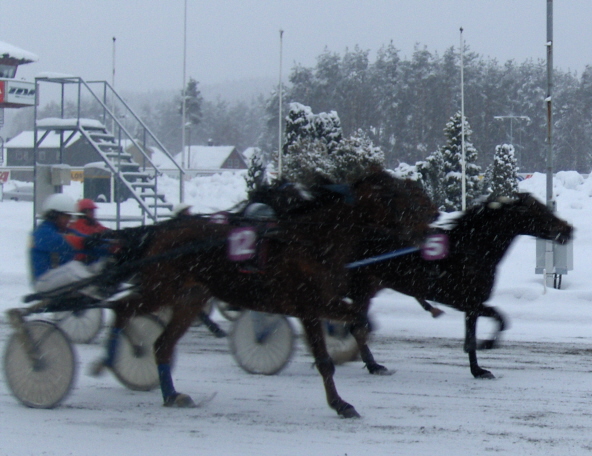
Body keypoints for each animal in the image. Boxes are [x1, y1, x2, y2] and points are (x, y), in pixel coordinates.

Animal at [99, 169, 438, 418]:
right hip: (163, 287)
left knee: (162, 344)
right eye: (402, 199)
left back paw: (171, 394)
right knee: (122, 309)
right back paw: (110, 358)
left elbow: (353, 325)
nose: (430, 227)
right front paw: (341, 402)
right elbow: (335, 346)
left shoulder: (324, 301)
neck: (314, 241)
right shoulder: (309, 303)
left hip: (190, 297)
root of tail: (161, 230)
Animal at [346, 194, 572, 380]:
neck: (471, 249)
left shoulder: (470, 304)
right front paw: (482, 359)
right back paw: (374, 365)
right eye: (538, 211)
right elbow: (492, 324)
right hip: (360, 289)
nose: (568, 229)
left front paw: (481, 357)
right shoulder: (470, 302)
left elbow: (493, 323)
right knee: (356, 327)